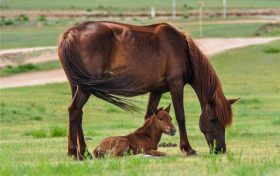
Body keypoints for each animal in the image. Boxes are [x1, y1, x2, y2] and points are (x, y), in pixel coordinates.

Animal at [57, 21, 238, 160]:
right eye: (213, 120)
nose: (221, 149)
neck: (183, 50)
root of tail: (69, 34)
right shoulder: (176, 85)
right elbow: (181, 116)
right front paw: (188, 149)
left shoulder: (156, 90)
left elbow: (149, 115)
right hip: (85, 88)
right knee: (74, 110)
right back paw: (74, 153)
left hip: (76, 85)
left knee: (78, 114)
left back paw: (84, 152)